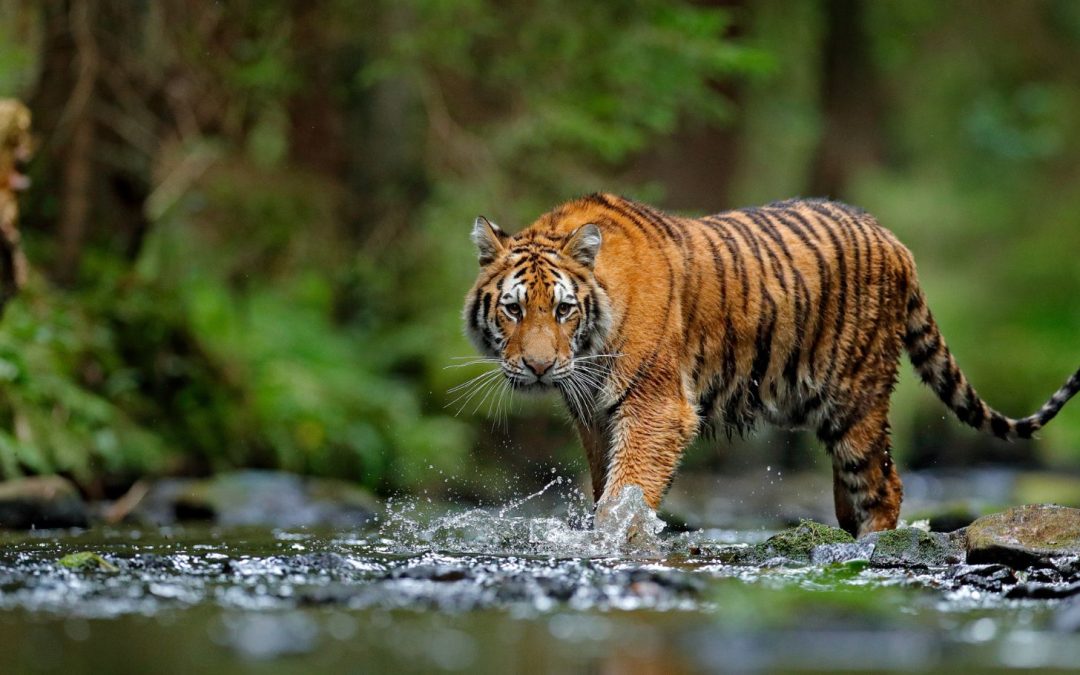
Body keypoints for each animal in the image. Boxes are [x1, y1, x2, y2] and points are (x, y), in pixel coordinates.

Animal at [462, 193, 1080, 537]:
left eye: (564, 309)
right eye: (513, 309)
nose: (539, 368)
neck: (588, 349)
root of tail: (894, 239)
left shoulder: (656, 407)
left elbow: (625, 493)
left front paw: (614, 539)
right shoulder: (594, 415)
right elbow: (604, 487)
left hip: (855, 399)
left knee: (884, 487)